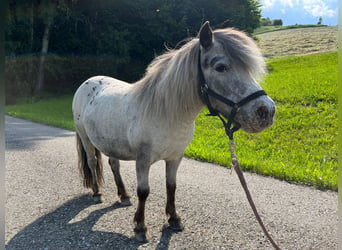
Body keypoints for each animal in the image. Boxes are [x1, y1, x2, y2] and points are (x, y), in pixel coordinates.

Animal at [71, 22, 276, 242]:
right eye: (221, 67)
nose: (266, 111)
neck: (165, 112)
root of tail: (88, 82)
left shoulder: (175, 157)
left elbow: (171, 187)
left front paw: (174, 219)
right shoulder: (143, 160)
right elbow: (143, 191)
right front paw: (140, 228)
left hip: (110, 143)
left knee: (113, 164)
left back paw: (124, 195)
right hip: (85, 138)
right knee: (92, 162)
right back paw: (97, 193)